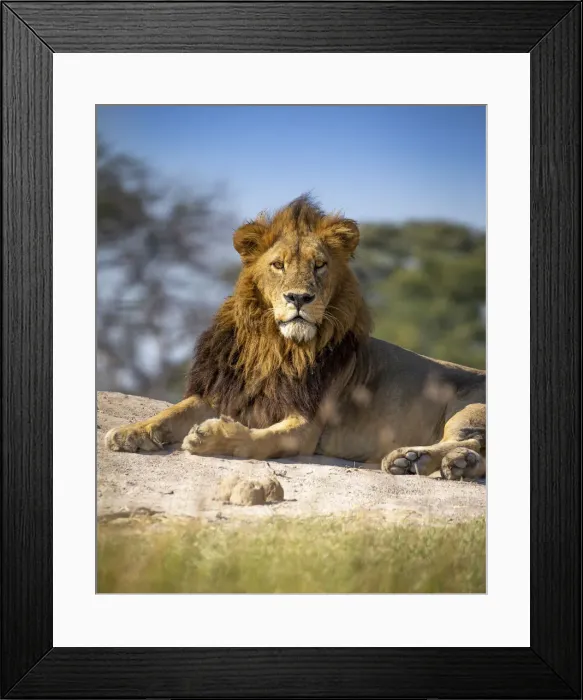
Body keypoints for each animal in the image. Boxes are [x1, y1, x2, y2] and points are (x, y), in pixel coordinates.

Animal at [105, 195, 485, 480]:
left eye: (320, 265)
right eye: (279, 265)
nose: (300, 298)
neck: (274, 347)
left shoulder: (306, 424)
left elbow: (258, 440)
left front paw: (210, 436)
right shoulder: (221, 392)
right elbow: (173, 411)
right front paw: (131, 432)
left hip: (468, 407)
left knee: (468, 441)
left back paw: (414, 458)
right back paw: (449, 464)